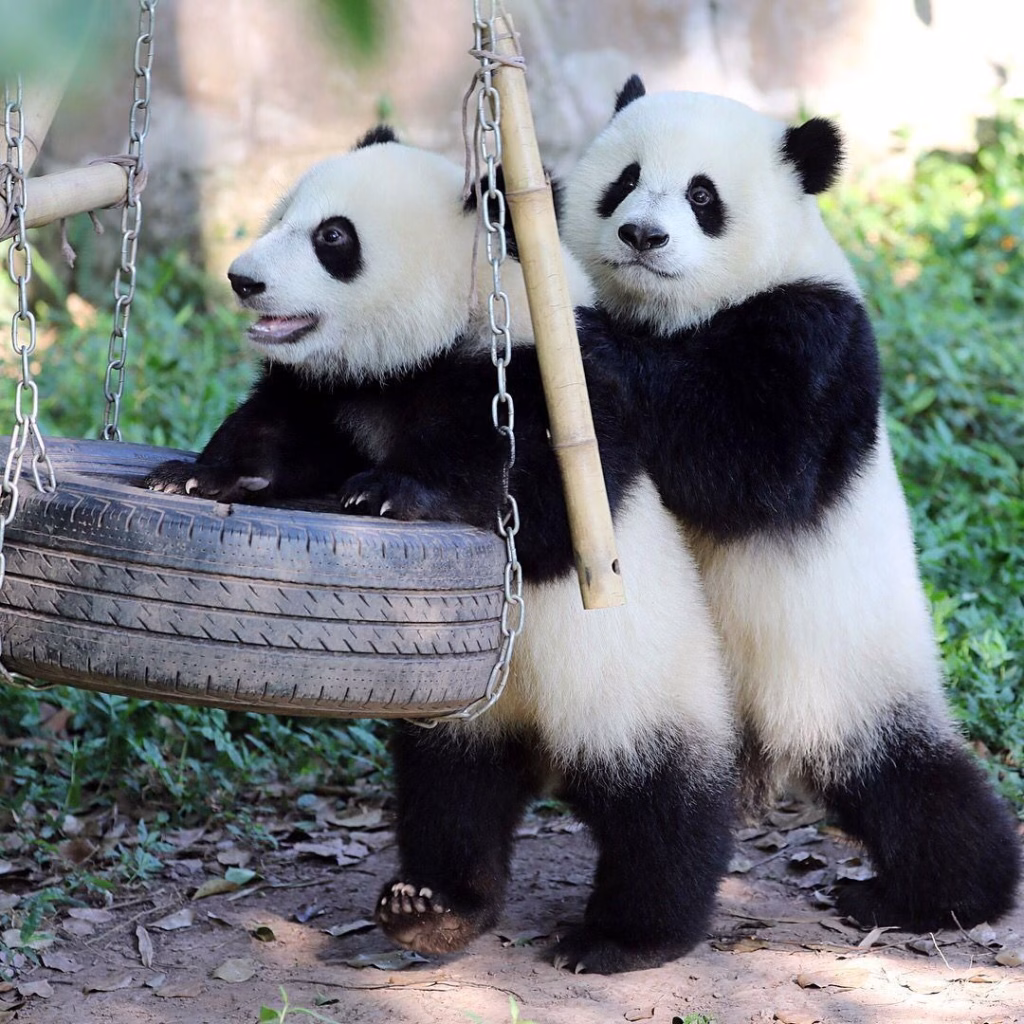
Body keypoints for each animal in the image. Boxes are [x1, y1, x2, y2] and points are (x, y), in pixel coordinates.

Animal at [143, 126, 738, 974]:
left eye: (333, 238)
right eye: (283, 213)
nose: (243, 279)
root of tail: (546, 751)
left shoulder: (558, 385)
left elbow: (537, 493)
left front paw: (390, 492)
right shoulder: (339, 393)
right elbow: (279, 432)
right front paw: (193, 476)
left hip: (645, 688)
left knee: (662, 809)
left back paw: (627, 935)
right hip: (458, 715)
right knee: (451, 797)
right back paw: (434, 907)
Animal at [561, 75, 1022, 933]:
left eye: (703, 195)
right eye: (624, 179)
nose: (641, 235)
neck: (672, 314)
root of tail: (772, 747)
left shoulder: (817, 333)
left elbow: (758, 464)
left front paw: (588, 340)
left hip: (846, 668)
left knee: (912, 783)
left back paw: (940, 895)